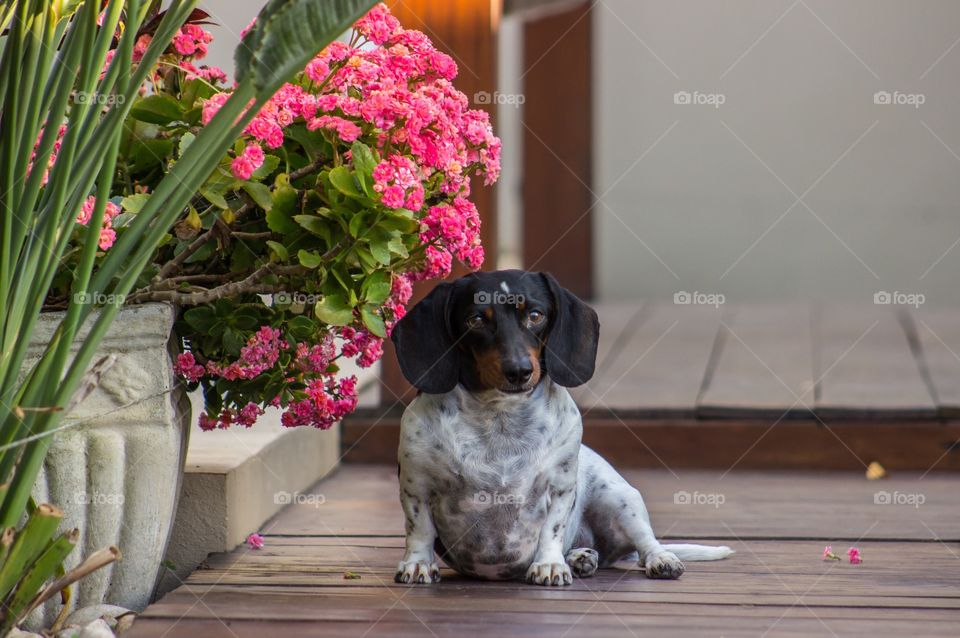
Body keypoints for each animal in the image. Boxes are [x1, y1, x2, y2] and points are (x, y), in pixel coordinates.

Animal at [386, 272, 732, 588]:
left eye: (535, 315)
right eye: (476, 320)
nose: (519, 371)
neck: (500, 418)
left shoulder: (560, 488)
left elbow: (551, 530)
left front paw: (549, 565)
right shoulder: (417, 488)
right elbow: (419, 530)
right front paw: (418, 564)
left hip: (620, 498)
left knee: (647, 542)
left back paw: (657, 559)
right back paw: (581, 557)